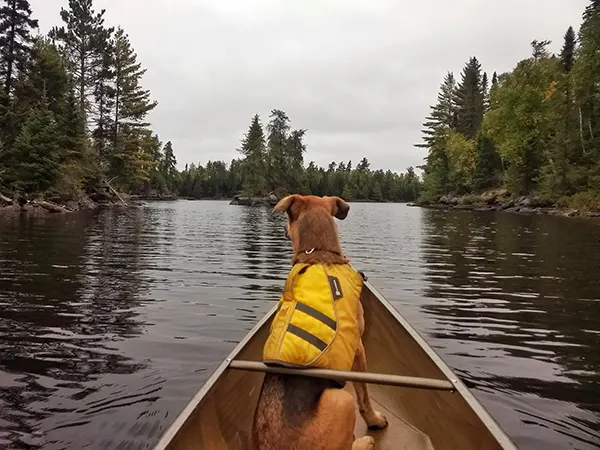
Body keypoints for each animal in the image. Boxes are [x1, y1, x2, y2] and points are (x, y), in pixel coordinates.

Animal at [250, 195, 386, 450]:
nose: (283, 229)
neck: (318, 253)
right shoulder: (359, 349)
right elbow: (364, 396)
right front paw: (374, 420)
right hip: (342, 400)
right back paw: (364, 442)